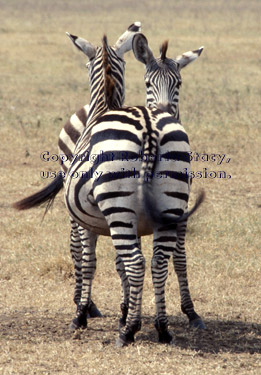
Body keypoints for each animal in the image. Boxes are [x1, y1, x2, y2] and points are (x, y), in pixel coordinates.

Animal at [63, 33, 205, 348]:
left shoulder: (88, 221)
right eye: (148, 83)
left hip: (118, 208)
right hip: (167, 205)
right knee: (158, 262)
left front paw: (83, 315)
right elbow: (123, 265)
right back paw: (162, 329)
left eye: (178, 84)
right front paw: (125, 311)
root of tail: (149, 124)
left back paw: (128, 332)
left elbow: (90, 261)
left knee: (136, 263)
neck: (103, 108)